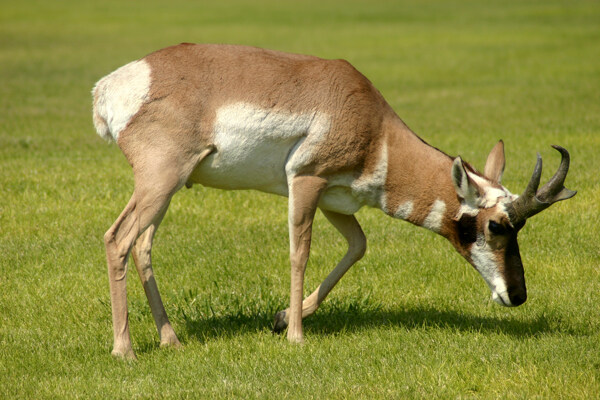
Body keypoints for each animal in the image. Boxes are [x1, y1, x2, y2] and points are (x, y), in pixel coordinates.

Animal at [92, 43, 576, 360]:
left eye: (521, 226)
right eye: (497, 225)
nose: (518, 295)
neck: (375, 128)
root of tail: (111, 85)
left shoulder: (335, 202)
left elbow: (357, 247)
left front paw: (281, 318)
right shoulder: (306, 182)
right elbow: (299, 253)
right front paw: (296, 337)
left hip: (167, 191)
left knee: (142, 244)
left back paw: (170, 340)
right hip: (160, 181)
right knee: (117, 239)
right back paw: (125, 350)